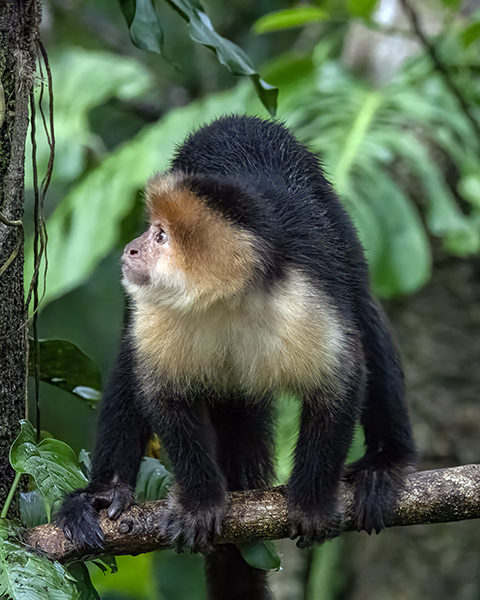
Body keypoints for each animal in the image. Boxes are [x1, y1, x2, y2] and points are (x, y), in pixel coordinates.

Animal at [57, 115, 416, 600]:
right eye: (151, 228)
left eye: (160, 236)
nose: (131, 248)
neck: (224, 301)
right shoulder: (154, 312)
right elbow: (162, 394)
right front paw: (202, 501)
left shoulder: (302, 297)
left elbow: (340, 383)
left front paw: (312, 500)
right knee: (129, 360)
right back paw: (104, 494)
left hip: (338, 220)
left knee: (363, 308)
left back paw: (385, 461)